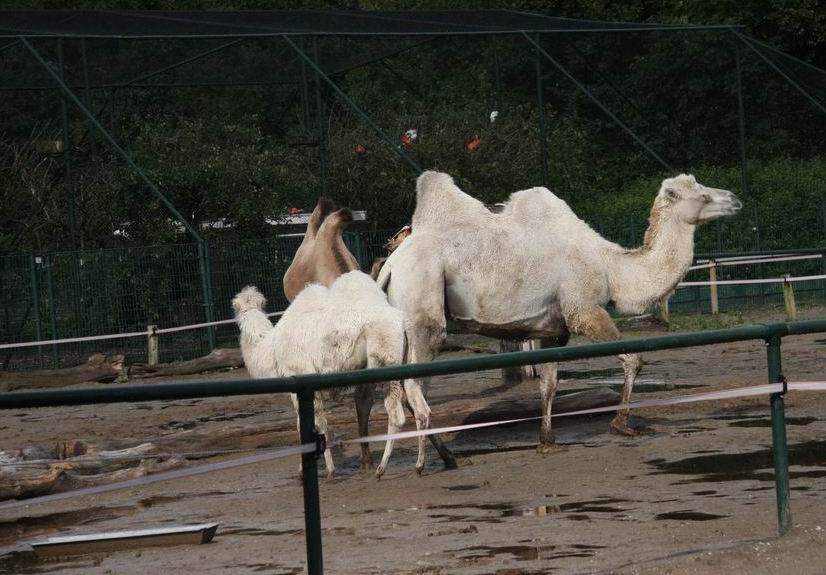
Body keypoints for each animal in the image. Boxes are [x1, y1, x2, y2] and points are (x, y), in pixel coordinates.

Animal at [233, 272, 436, 478]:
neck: (270, 348)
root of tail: (403, 322)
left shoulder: (300, 376)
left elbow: (315, 425)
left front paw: (327, 471)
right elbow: (307, 425)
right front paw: (308, 470)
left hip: (386, 360)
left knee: (396, 415)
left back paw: (381, 469)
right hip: (408, 364)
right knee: (422, 410)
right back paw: (419, 466)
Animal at [376, 171, 741, 450]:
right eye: (702, 195)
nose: (735, 199)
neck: (611, 266)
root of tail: (390, 266)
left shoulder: (552, 330)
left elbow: (549, 384)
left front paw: (547, 440)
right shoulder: (584, 310)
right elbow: (633, 359)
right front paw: (622, 424)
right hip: (423, 300)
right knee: (415, 383)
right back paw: (437, 457)